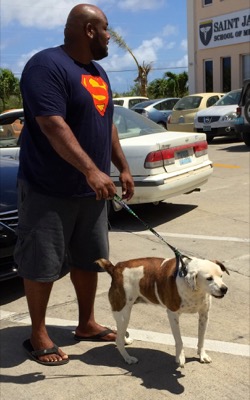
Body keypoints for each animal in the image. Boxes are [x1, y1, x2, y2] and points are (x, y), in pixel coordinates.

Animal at [96, 256, 229, 368]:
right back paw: (128, 358)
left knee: (120, 333)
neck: (194, 289)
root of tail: (115, 269)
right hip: (123, 313)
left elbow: (201, 338)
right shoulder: (173, 315)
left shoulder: (204, 315)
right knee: (118, 340)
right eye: (209, 278)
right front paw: (180, 357)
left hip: (123, 315)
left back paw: (126, 341)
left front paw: (202, 355)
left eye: (221, 276)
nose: (224, 289)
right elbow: (179, 340)